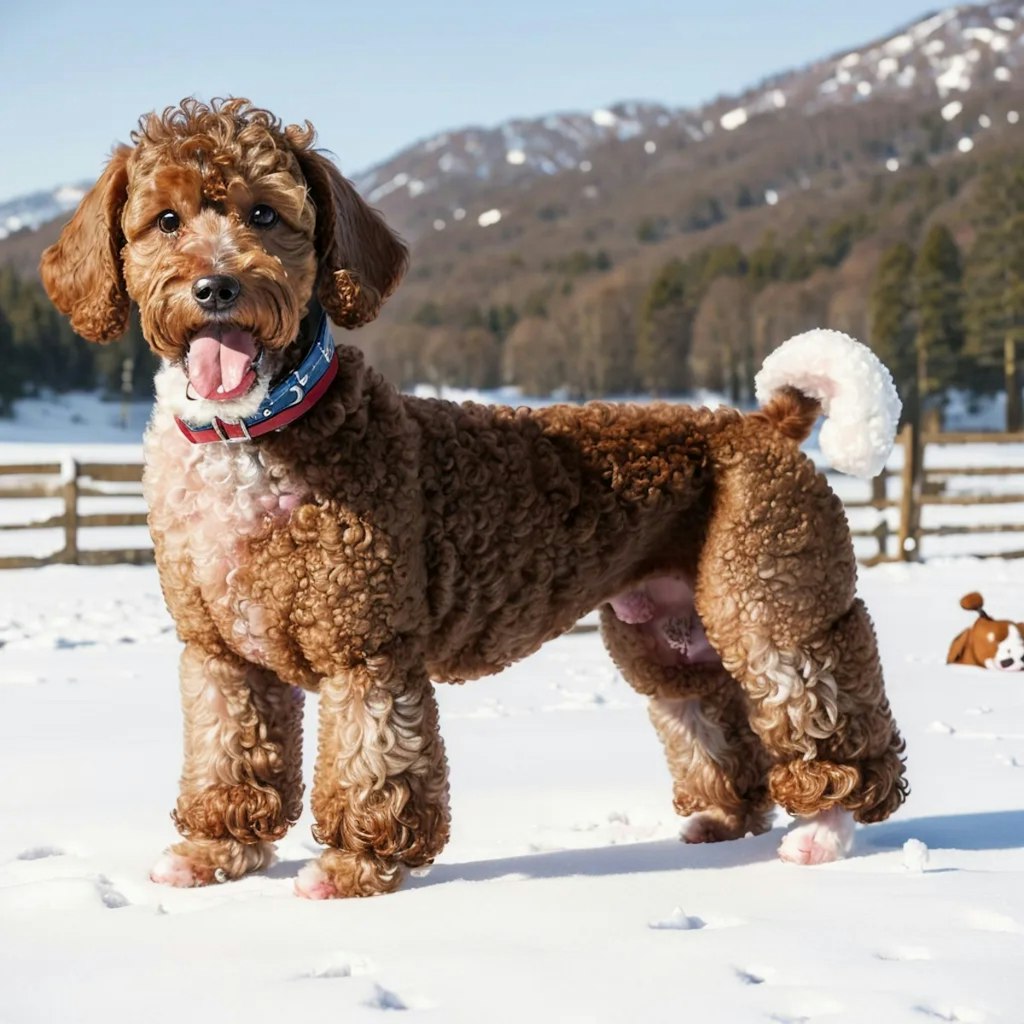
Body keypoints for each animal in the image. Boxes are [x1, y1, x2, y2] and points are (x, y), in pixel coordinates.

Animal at [39, 96, 909, 897]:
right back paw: (724, 820)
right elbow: (231, 760)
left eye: (265, 213)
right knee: (716, 720)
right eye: (165, 220)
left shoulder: (368, 652)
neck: (255, 434)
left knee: (828, 715)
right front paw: (215, 854)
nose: (217, 286)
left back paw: (824, 832)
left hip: (773, 607)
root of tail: (767, 422)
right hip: (665, 637)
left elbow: (372, 768)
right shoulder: (221, 656)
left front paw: (353, 868)